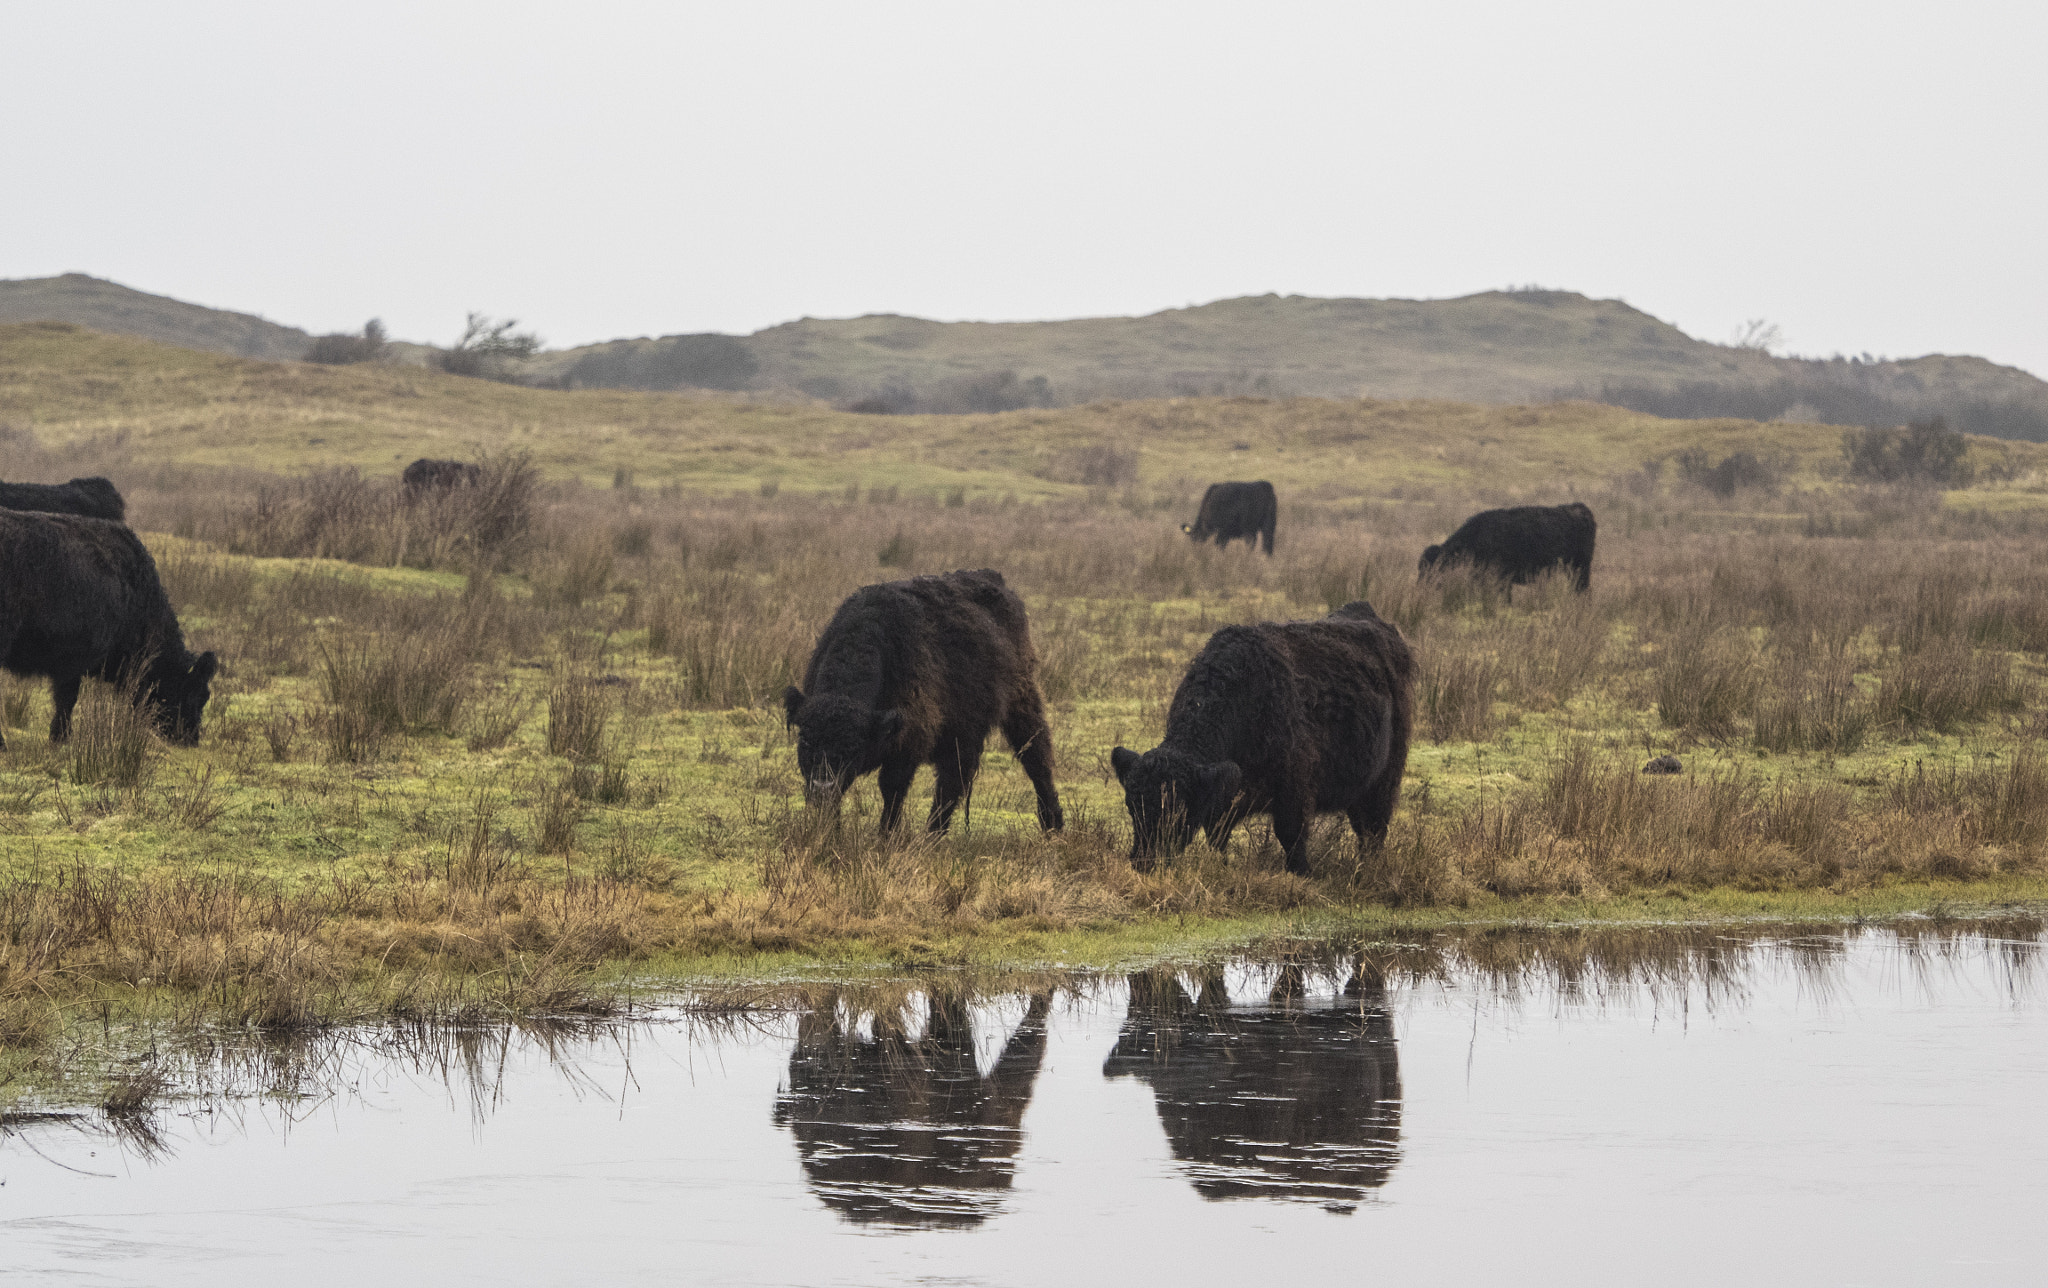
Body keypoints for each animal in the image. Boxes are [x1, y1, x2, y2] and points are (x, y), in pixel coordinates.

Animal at [786, 565, 1073, 827]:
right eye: (805, 739)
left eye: (853, 746)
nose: (822, 785)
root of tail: (993, 579)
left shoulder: (908, 742)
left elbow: (892, 790)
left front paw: (887, 835)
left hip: (1019, 703)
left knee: (1034, 757)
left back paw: (1050, 823)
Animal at [1114, 602, 1417, 872]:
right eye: (1131, 807)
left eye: (1177, 811)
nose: (1143, 862)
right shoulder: (1224, 799)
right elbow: (1218, 838)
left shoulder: (1294, 788)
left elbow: (1291, 835)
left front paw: (1302, 873)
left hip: (1384, 779)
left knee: (1373, 830)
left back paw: (1366, 871)